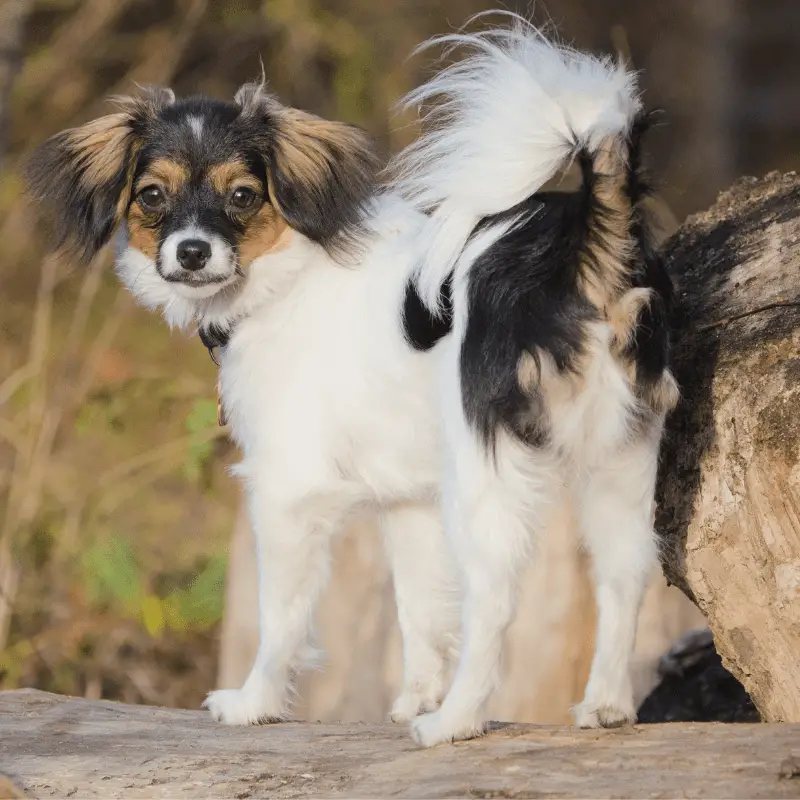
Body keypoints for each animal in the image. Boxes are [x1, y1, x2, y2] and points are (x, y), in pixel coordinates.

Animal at [26, 79, 462, 724]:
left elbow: (280, 618)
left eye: (241, 195)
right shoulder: (407, 496)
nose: (192, 252)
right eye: (151, 195)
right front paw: (419, 704)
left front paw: (255, 702)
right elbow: (424, 610)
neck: (286, 282)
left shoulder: (289, 490)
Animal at [390, 14, 680, 752]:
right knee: (625, 576)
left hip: (483, 481)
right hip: (624, 460)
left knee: (492, 603)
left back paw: (452, 722)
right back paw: (606, 706)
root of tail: (585, 241)